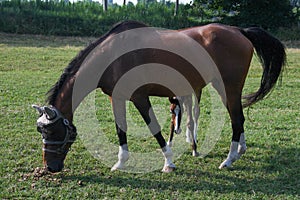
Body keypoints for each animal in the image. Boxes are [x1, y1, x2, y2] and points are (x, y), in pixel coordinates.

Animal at [32, 20, 286, 173]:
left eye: (52, 132)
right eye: (41, 131)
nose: (50, 167)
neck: (112, 54)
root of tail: (239, 31)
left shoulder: (139, 97)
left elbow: (154, 128)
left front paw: (169, 162)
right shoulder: (117, 97)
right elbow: (120, 129)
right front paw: (120, 162)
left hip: (228, 88)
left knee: (236, 120)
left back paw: (229, 159)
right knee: (238, 119)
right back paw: (240, 151)